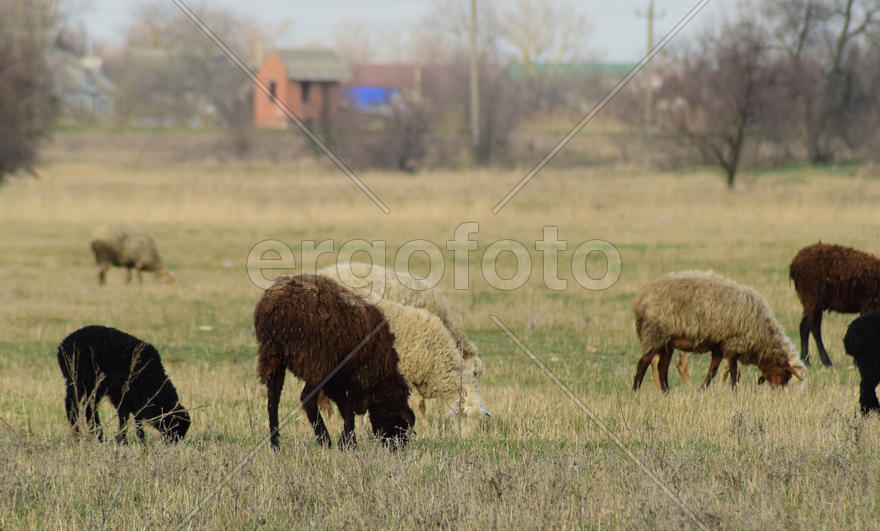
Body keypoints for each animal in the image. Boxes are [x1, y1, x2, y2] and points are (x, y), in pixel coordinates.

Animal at [57, 325, 190, 443]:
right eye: (176, 426)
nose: (173, 442)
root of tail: (63, 345)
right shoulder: (120, 394)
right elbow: (124, 417)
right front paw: (123, 440)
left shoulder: (134, 399)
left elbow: (137, 418)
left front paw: (140, 439)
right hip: (77, 380)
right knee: (72, 404)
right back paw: (77, 435)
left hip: (95, 387)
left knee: (90, 408)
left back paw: (100, 437)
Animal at [254, 274, 415, 449]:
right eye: (400, 421)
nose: (397, 448)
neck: (382, 375)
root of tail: (278, 309)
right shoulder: (344, 375)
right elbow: (348, 408)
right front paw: (348, 442)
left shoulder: (337, 379)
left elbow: (345, 407)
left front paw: (347, 442)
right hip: (317, 362)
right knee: (307, 398)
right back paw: (325, 441)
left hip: (272, 357)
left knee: (273, 399)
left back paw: (276, 444)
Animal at [632, 271, 807, 392]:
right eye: (786, 376)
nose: (779, 394)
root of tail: (641, 298)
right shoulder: (732, 344)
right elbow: (733, 372)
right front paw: (735, 391)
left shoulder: (719, 347)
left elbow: (713, 371)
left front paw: (702, 390)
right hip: (654, 335)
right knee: (643, 363)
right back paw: (636, 391)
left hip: (667, 342)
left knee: (662, 367)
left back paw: (666, 393)